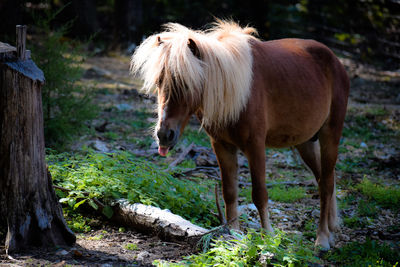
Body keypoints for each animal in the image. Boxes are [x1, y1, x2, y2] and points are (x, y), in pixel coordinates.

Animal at [130, 19, 346, 250]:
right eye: (159, 81)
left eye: (187, 84)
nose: (164, 135)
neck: (235, 90)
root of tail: (335, 60)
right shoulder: (222, 146)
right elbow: (230, 192)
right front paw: (233, 236)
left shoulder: (255, 146)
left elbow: (259, 194)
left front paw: (268, 238)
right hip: (305, 143)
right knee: (324, 179)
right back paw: (331, 229)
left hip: (330, 137)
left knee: (326, 185)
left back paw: (322, 239)